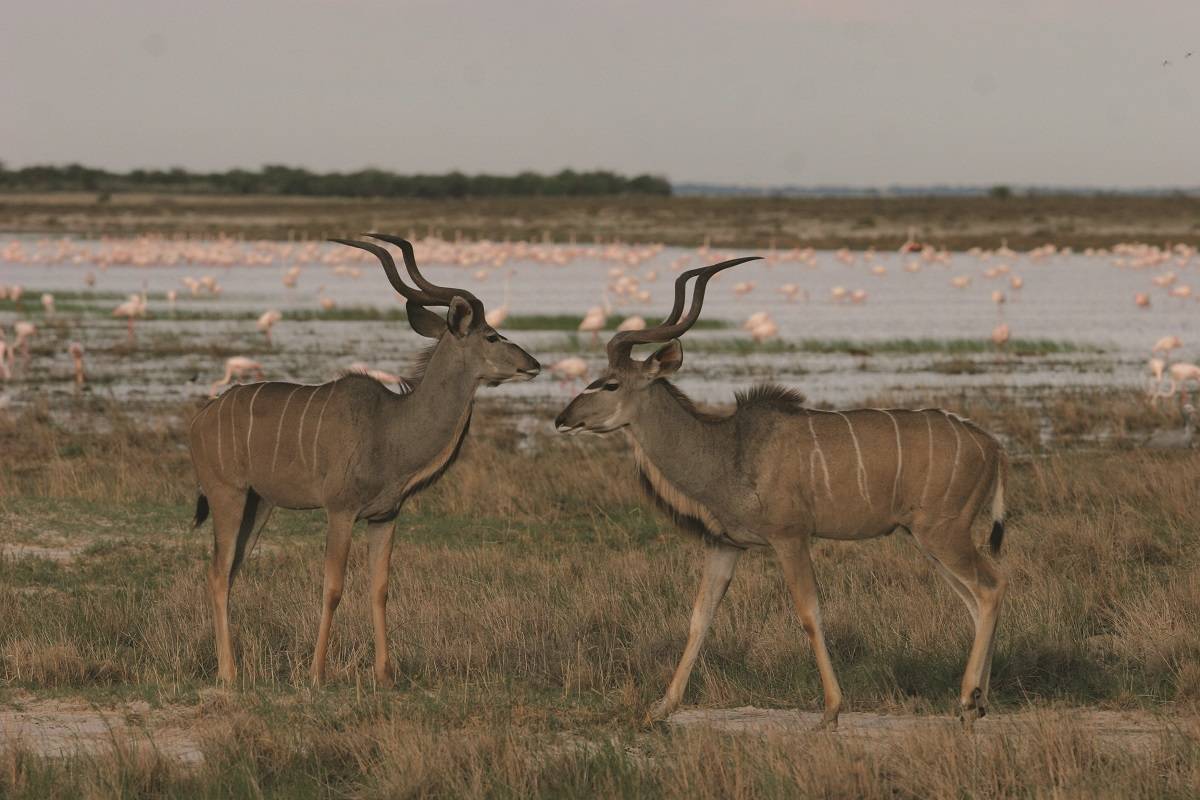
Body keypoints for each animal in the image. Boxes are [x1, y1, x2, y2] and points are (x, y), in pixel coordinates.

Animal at [188, 235, 540, 686]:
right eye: (492, 336)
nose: (533, 365)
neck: (389, 427)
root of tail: (202, 417)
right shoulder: (340, 511)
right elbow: (333, 587)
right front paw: (316, 674)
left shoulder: (385, 516)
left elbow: (380, 588)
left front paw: (385, 674)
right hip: (227, 495)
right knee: (217, 573)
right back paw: (228, 674)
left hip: (258, 503)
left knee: (231, 570)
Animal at [556, 257, 1008, 734]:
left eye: (608, 384)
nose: (562, 418)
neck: (728, 449)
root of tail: (993, 445)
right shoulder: (726, 545)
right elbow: (700, 617)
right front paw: (660, 707)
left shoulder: (790, 537)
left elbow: (809, 613)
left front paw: (830, 710)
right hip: (929, 541)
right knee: (975, 599)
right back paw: (977, 702)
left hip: (943, 534)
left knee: (991, 587)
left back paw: (968, 699)